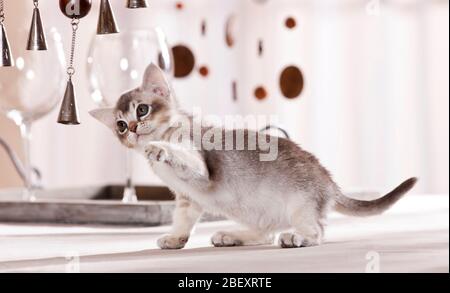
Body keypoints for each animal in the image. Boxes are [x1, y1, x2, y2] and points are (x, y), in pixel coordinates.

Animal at [90, 64, 418, 249]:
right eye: (120, 125)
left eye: (142, 109)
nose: (132, 129)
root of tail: (330, 183)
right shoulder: (187, 199)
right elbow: (182, 220)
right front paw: (175, 239)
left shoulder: (200, 168)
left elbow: (181, 154)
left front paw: (159, 148)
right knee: (266, 234)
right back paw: (231, 236)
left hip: (301, 205)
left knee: (318, 231)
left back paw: (297, 238)